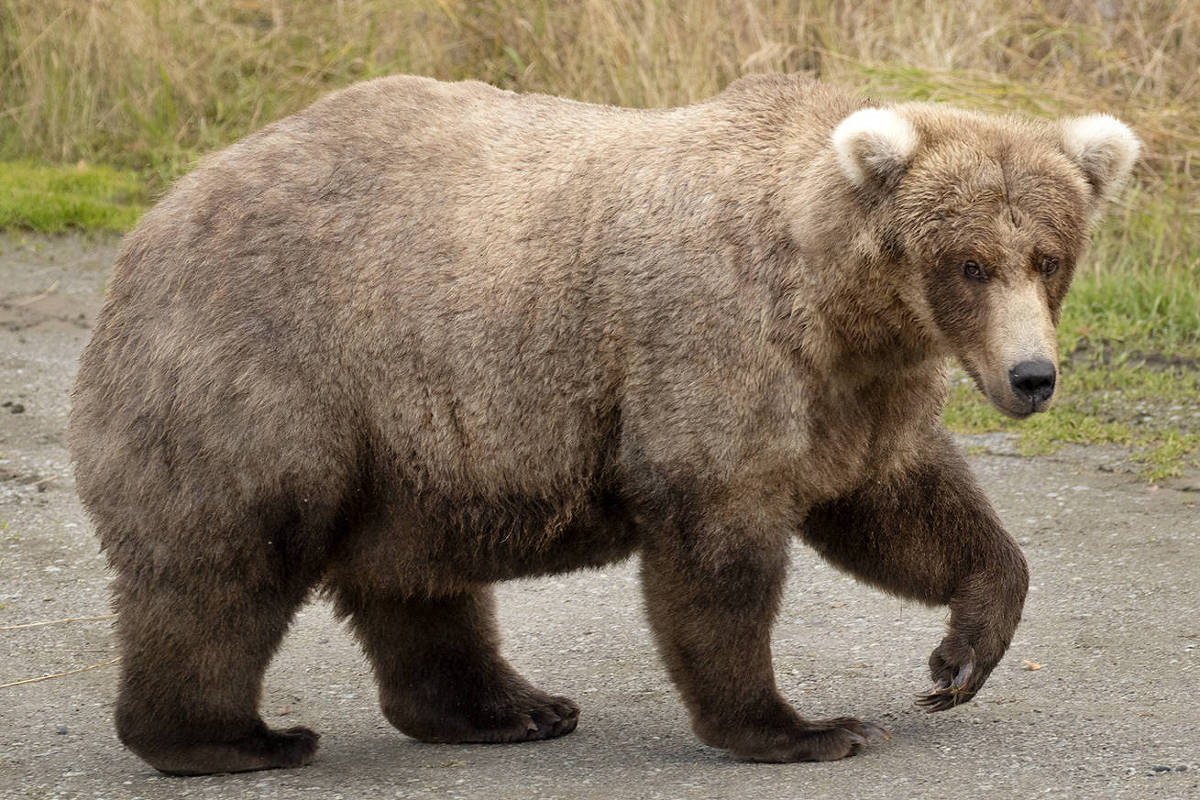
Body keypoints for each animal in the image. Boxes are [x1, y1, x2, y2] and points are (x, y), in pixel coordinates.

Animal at [70, 74, 1137, 777]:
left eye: (1048, 256)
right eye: (969, 263)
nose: (1032, 376)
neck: (835, 300)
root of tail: (161, 212)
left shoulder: (855, 391)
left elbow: (903, 505)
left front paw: (960, 654)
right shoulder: (712, 347)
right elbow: (718, 550)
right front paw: (801, 727)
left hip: (416, 437)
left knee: (414, 577)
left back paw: (509, 708)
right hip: (279, 368)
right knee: (227, 557)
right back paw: (231, 737)